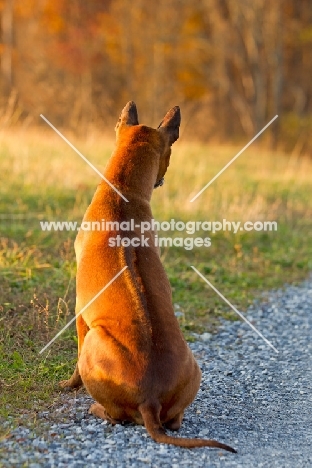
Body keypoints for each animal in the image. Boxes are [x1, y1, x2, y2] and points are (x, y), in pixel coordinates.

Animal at [59, 101, 236, 454]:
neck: (123, 193)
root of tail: (150, 399)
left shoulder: (80, 312)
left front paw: (68, 385)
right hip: (194, 368)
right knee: (175, 421)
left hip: (96, 341)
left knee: (116, 415)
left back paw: (96, 408)